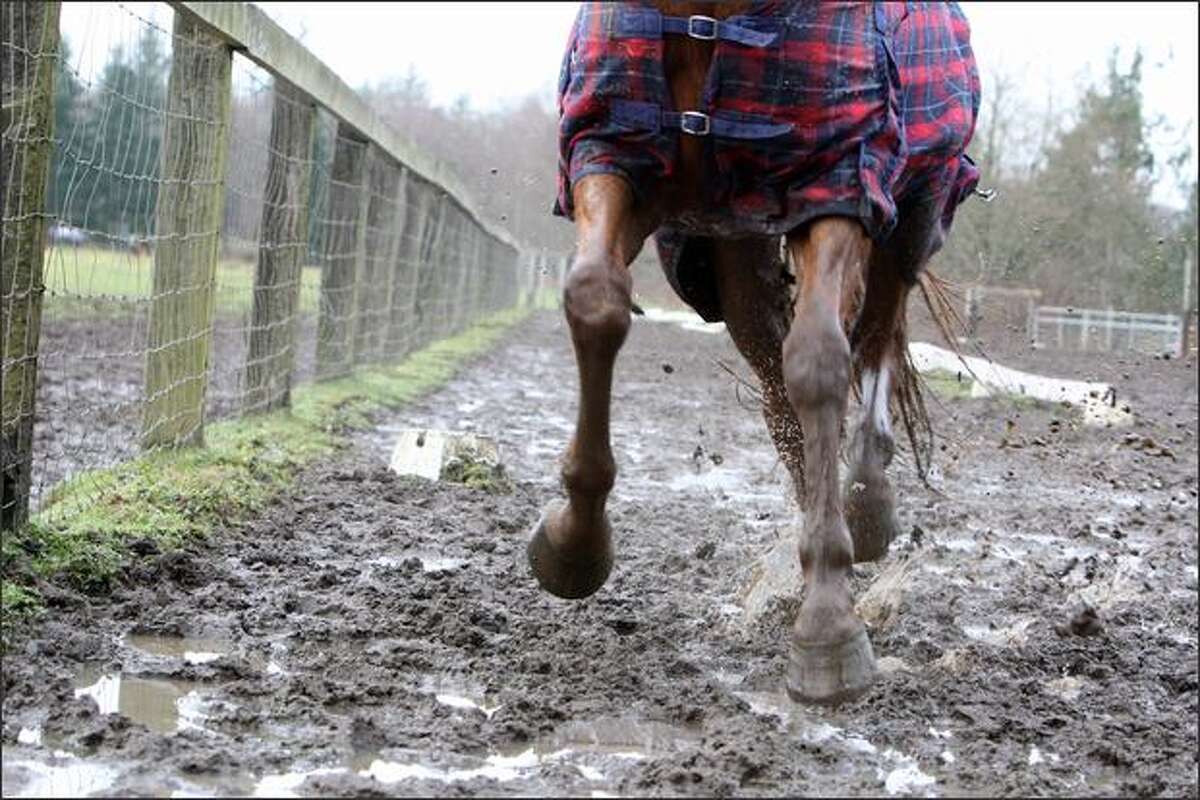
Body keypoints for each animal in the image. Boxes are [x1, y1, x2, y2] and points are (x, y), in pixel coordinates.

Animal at [528, 0, 982, 705]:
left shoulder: (835, 178)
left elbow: (820, 359)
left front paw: (828, 628)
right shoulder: (618, 153)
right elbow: (595, 302)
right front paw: (574, 545)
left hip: (910, 218)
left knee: (874, 340)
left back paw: (865, 504)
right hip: (737, 255)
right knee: (779, 394)